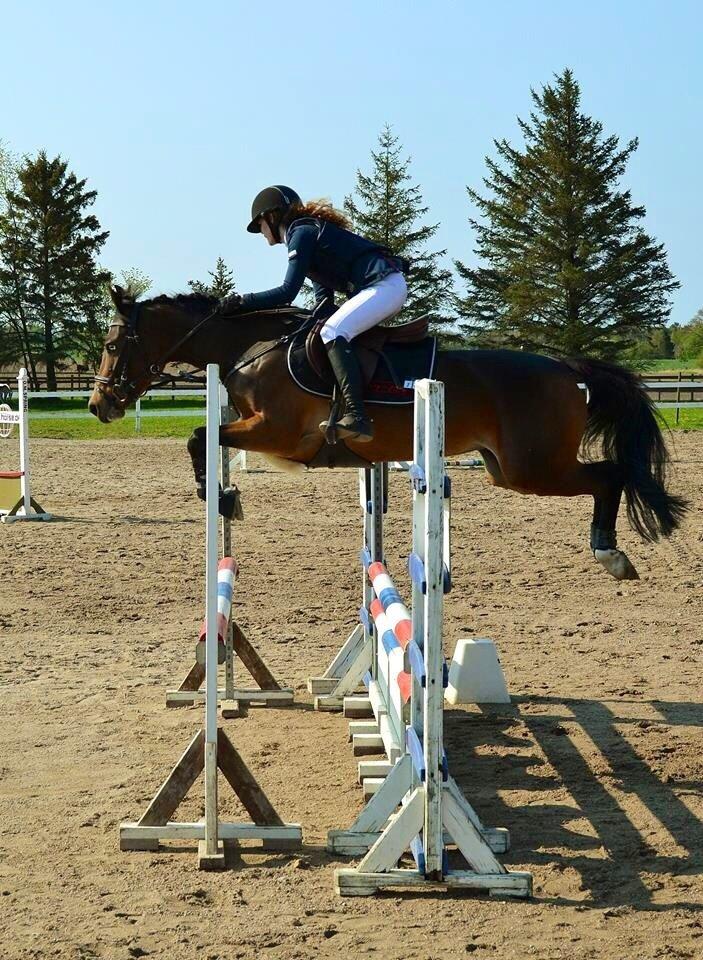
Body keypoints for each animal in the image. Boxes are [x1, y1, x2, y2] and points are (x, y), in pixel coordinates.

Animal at [88, 285, 687, 582]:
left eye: (114, 345)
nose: (100, 405)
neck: (252, 351)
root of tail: (567, 368)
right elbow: (204, 437)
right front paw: (225, 497)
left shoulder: (277, 434)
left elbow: (199, 435)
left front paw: (217, 496)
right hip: (511, 469)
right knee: (609, 475)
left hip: (535, 467)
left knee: (610, 476)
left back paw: (610, 554)